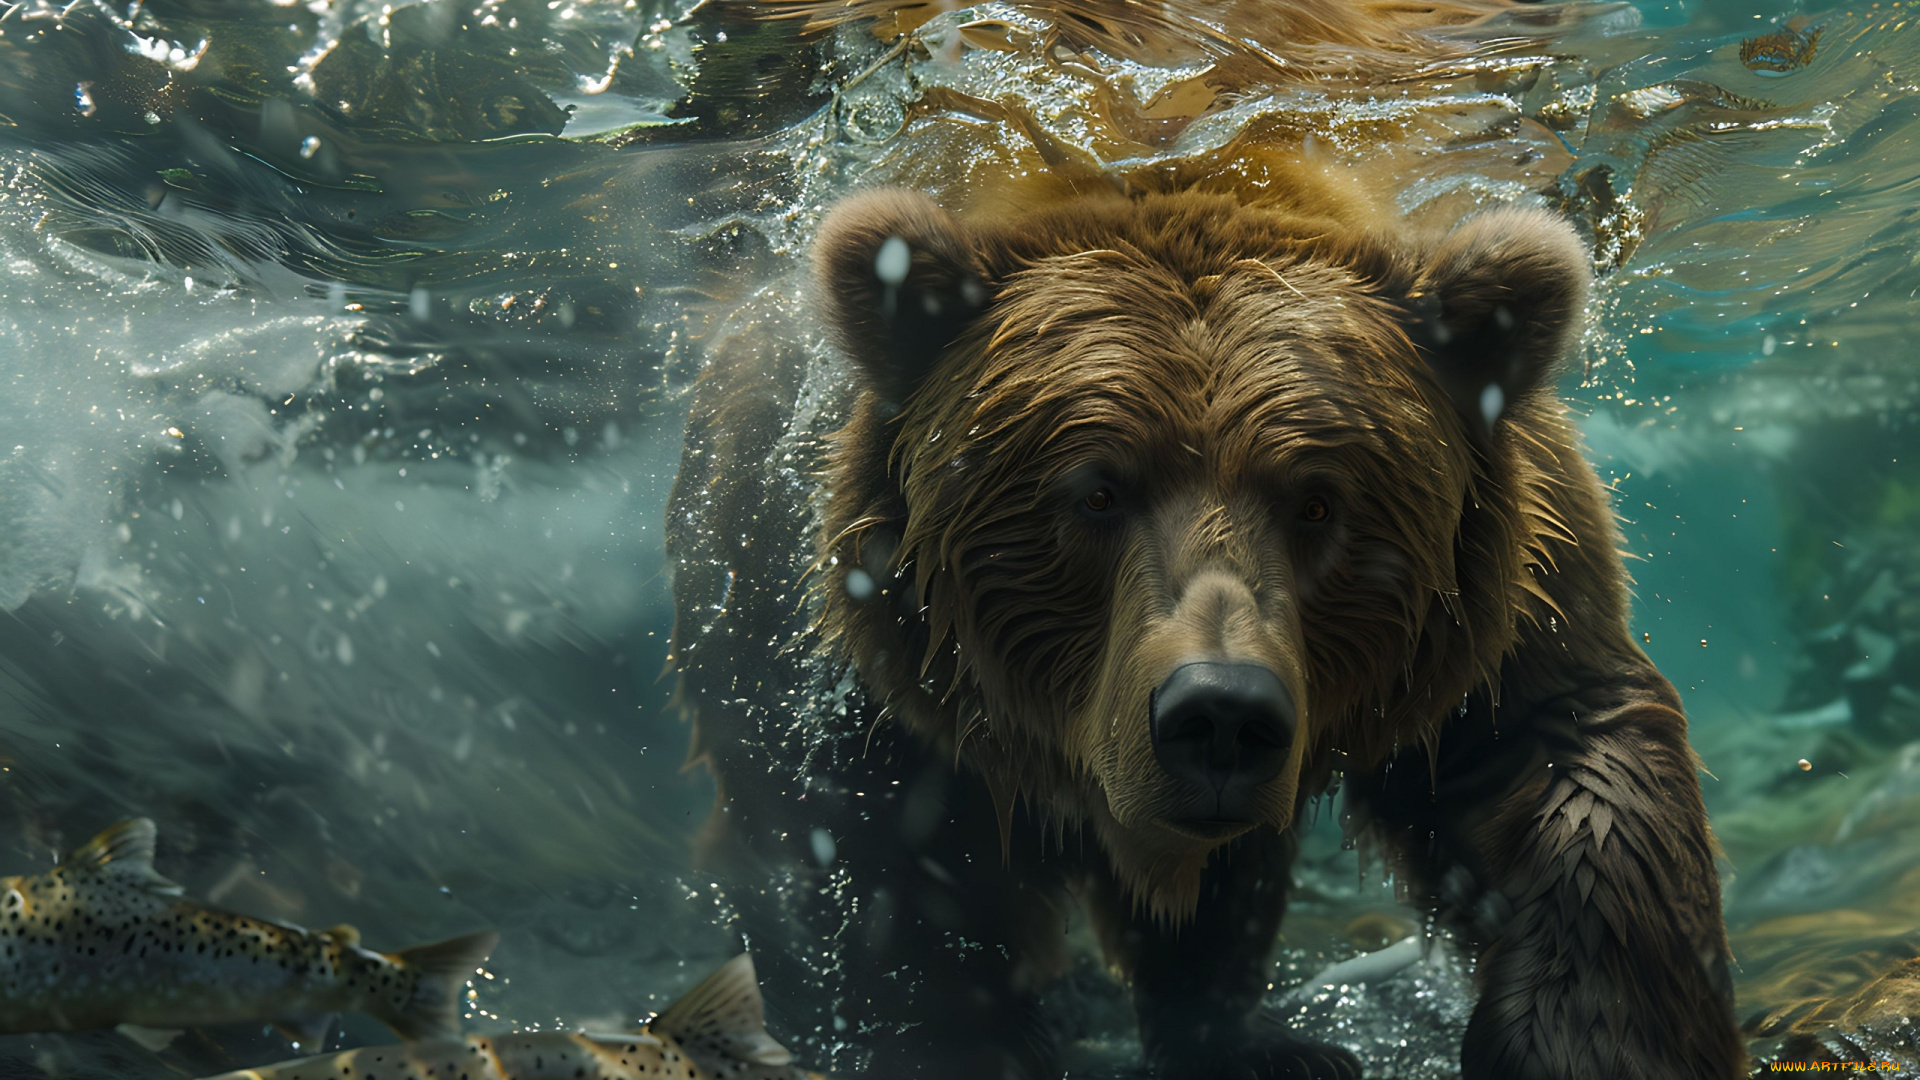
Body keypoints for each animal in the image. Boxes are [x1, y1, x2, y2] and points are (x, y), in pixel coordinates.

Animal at [665, 174, 1747, 1077]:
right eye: (1097, 491)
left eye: (1318, 501)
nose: (1220, 712)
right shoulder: (846, 655)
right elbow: (875, 866)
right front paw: (966, 1034)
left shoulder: (1503, 598)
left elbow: (1563, 758)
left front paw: (1592, 1045)